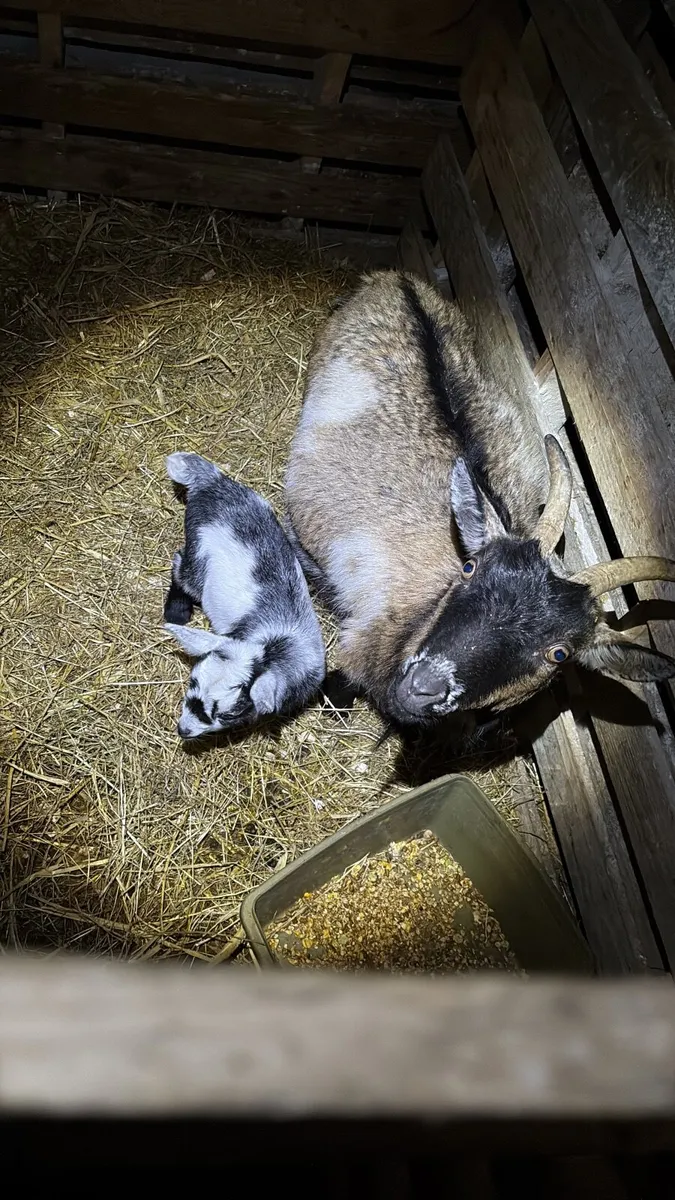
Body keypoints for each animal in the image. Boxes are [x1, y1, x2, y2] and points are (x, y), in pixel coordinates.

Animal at [164, 452, 325, 739]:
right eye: (193, 682)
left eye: (228, 714)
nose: (183, 730)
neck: (275, 645)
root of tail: (212, 480)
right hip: (197, 553)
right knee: (180, 564)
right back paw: (177, 612)